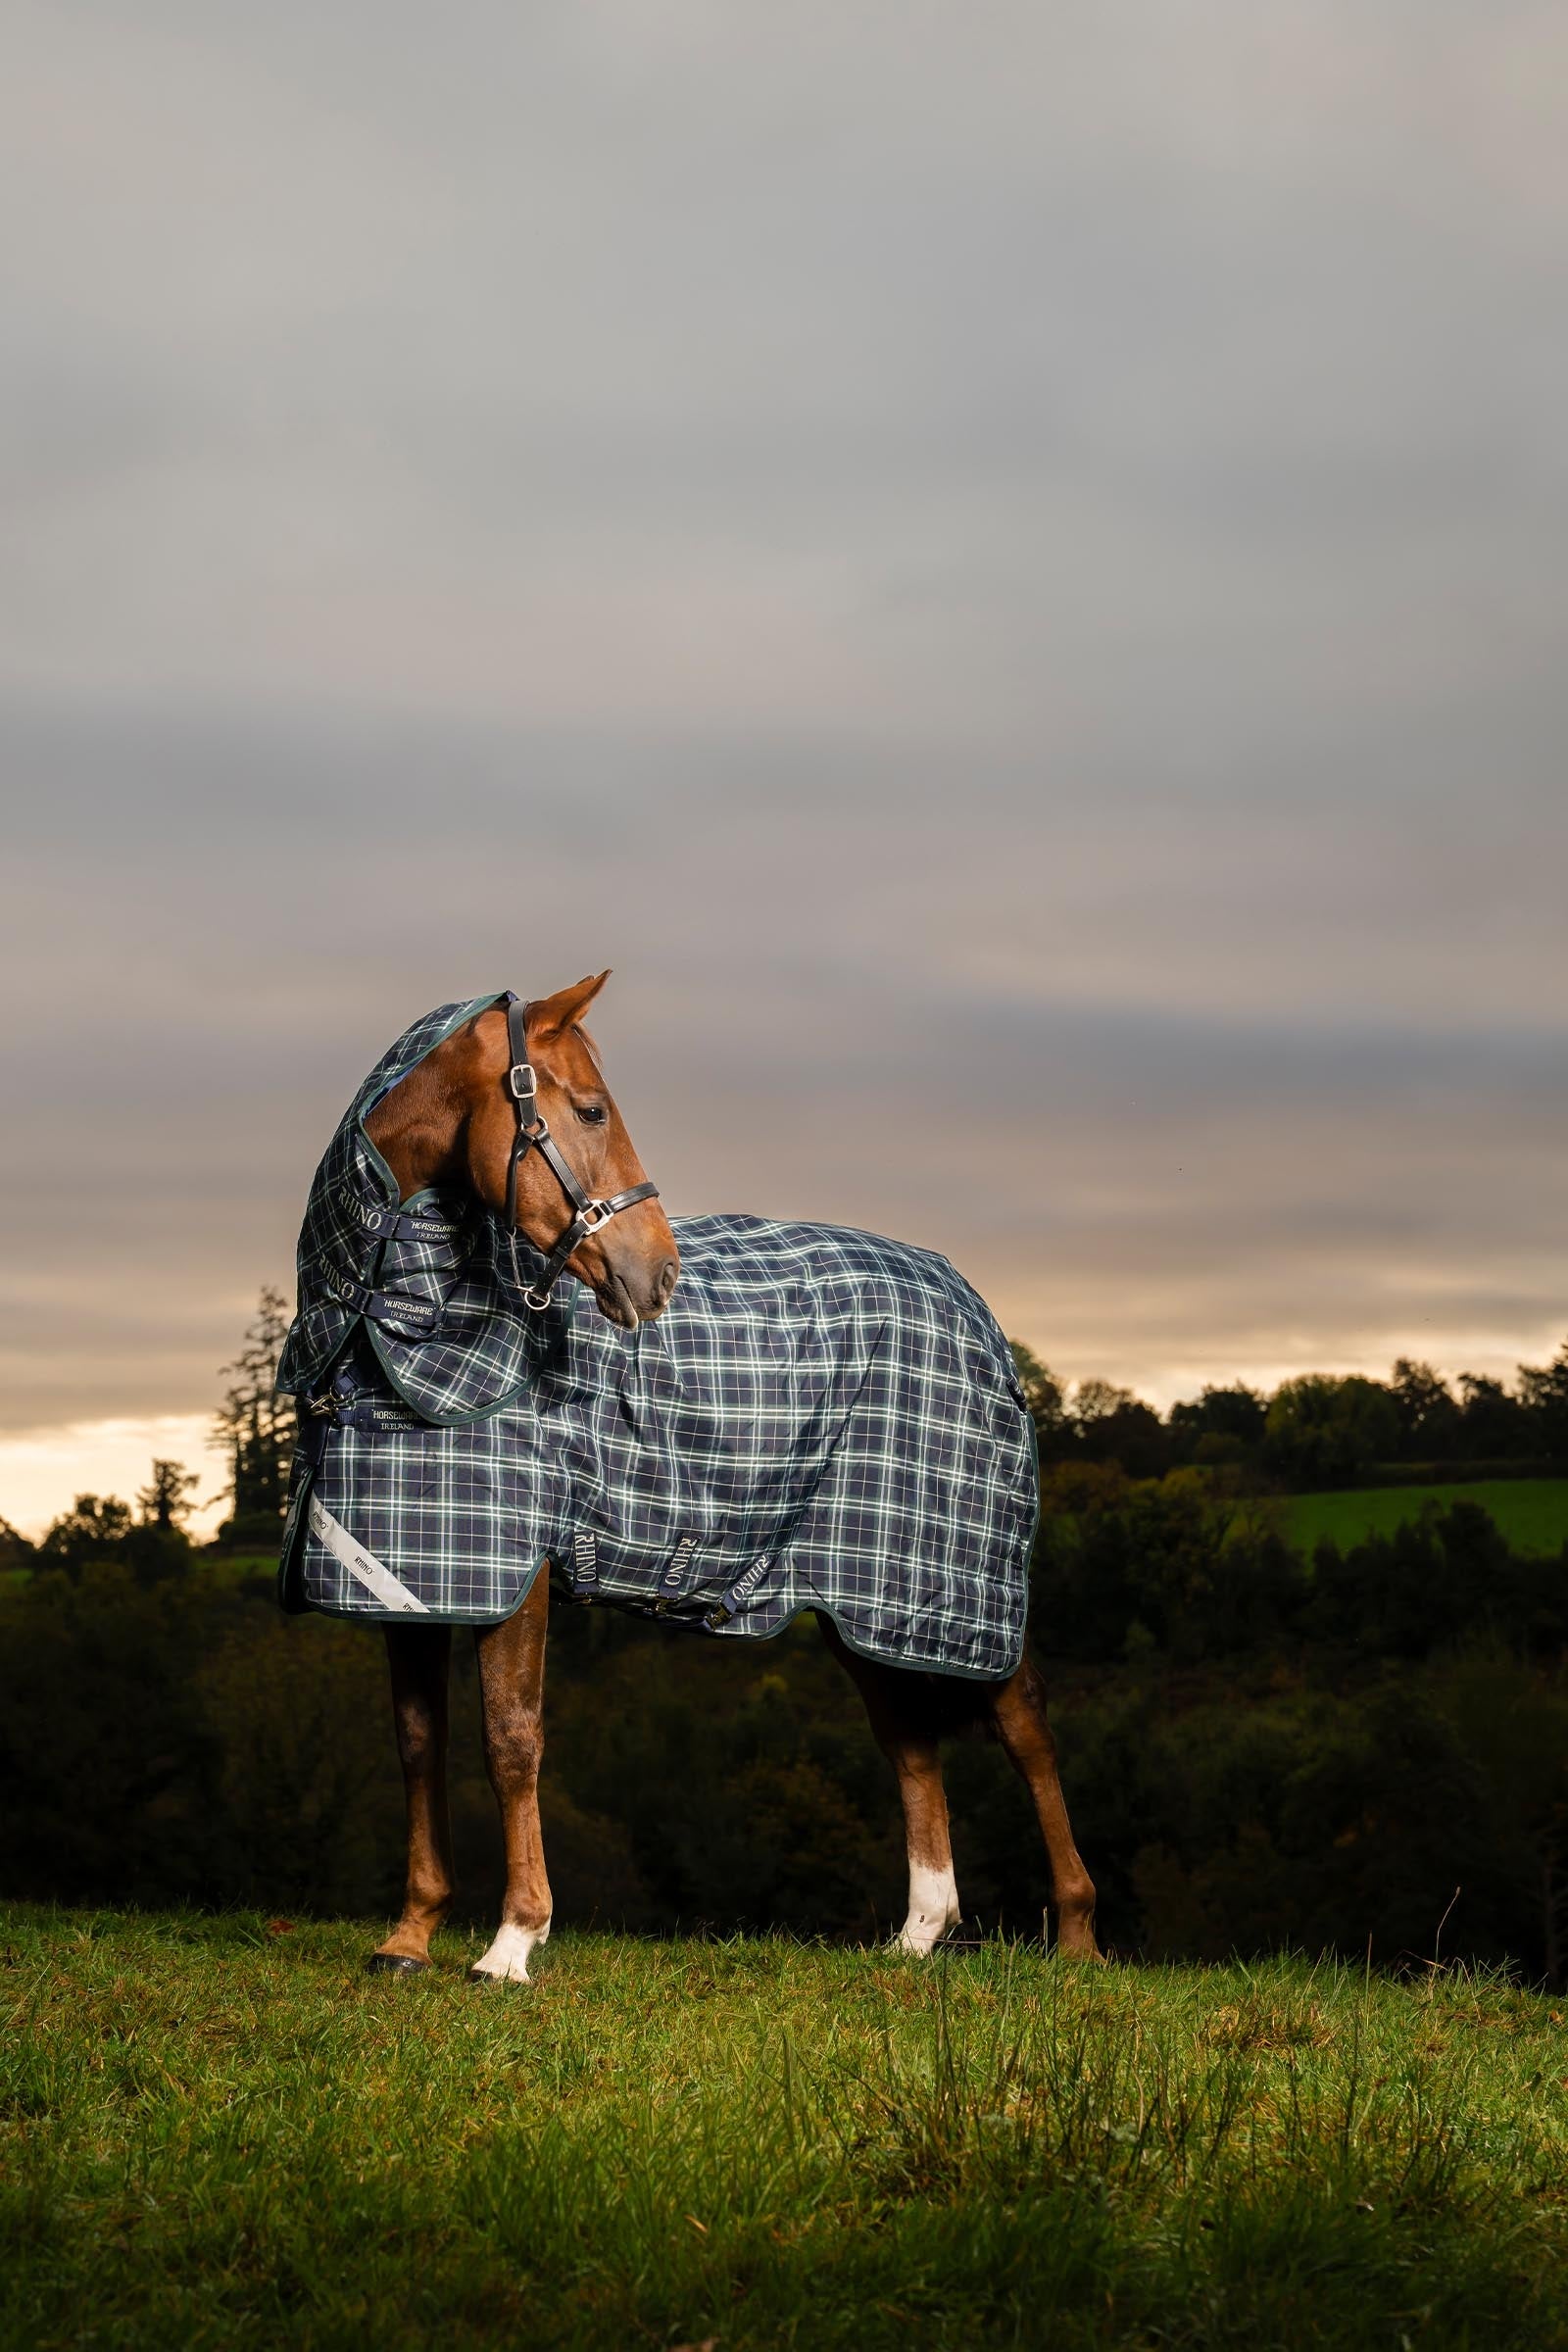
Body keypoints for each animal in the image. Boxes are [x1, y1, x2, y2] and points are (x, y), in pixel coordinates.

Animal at [289, 972, 1098, 1980]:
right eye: (591, 1110)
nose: (659, 1275)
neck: (384, 1321)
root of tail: (971, 1302)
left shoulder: (519, 1570)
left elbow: (511, 1739)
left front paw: (513, 1941)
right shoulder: (408, 1580)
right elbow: (416, 1744)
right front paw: (410, 1934)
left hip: (960, 1582)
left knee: (1024, 1724)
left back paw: (1076, 1936)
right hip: (857, 1595)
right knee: (907, 1740)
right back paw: (916, 1937)